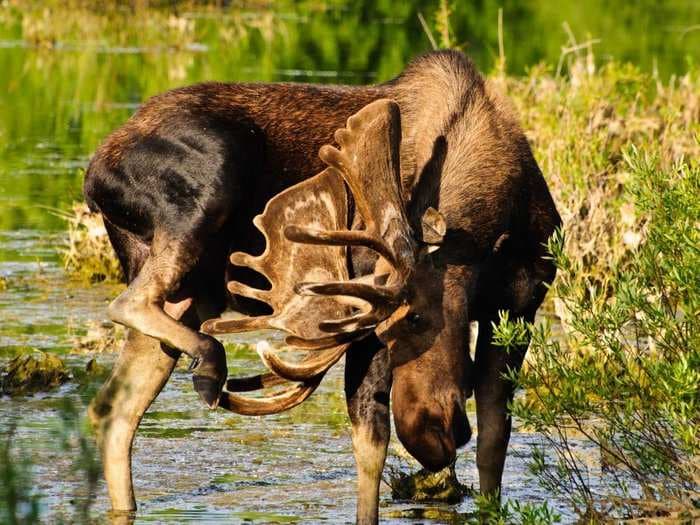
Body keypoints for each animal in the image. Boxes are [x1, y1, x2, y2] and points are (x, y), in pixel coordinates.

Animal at [85, 48, 560, 520]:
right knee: (128, 306)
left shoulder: (521, 305)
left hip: (186, 289)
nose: (430, 435)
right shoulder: (364, 319)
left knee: (114, 410)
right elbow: (371, 447)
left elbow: (493, 442)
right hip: (209, 184)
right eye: (396, 326)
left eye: (422, 319)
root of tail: (93, 176)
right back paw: (210, 364)